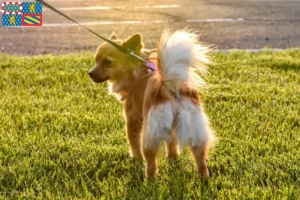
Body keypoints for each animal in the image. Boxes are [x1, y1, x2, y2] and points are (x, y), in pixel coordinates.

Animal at [88, 29, 216, 178]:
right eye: (96, 60)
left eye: (107, 62)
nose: (90, 73)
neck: (138, 72)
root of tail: (168, 86)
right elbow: (172, 143)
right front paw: (172, 157)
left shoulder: (133, 119)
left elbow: (133, 142)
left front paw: (135, 158)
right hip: (194, 129)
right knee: (200, 158)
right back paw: (204, 177)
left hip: (150, 134)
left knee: (150, 161)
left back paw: (148, 178)